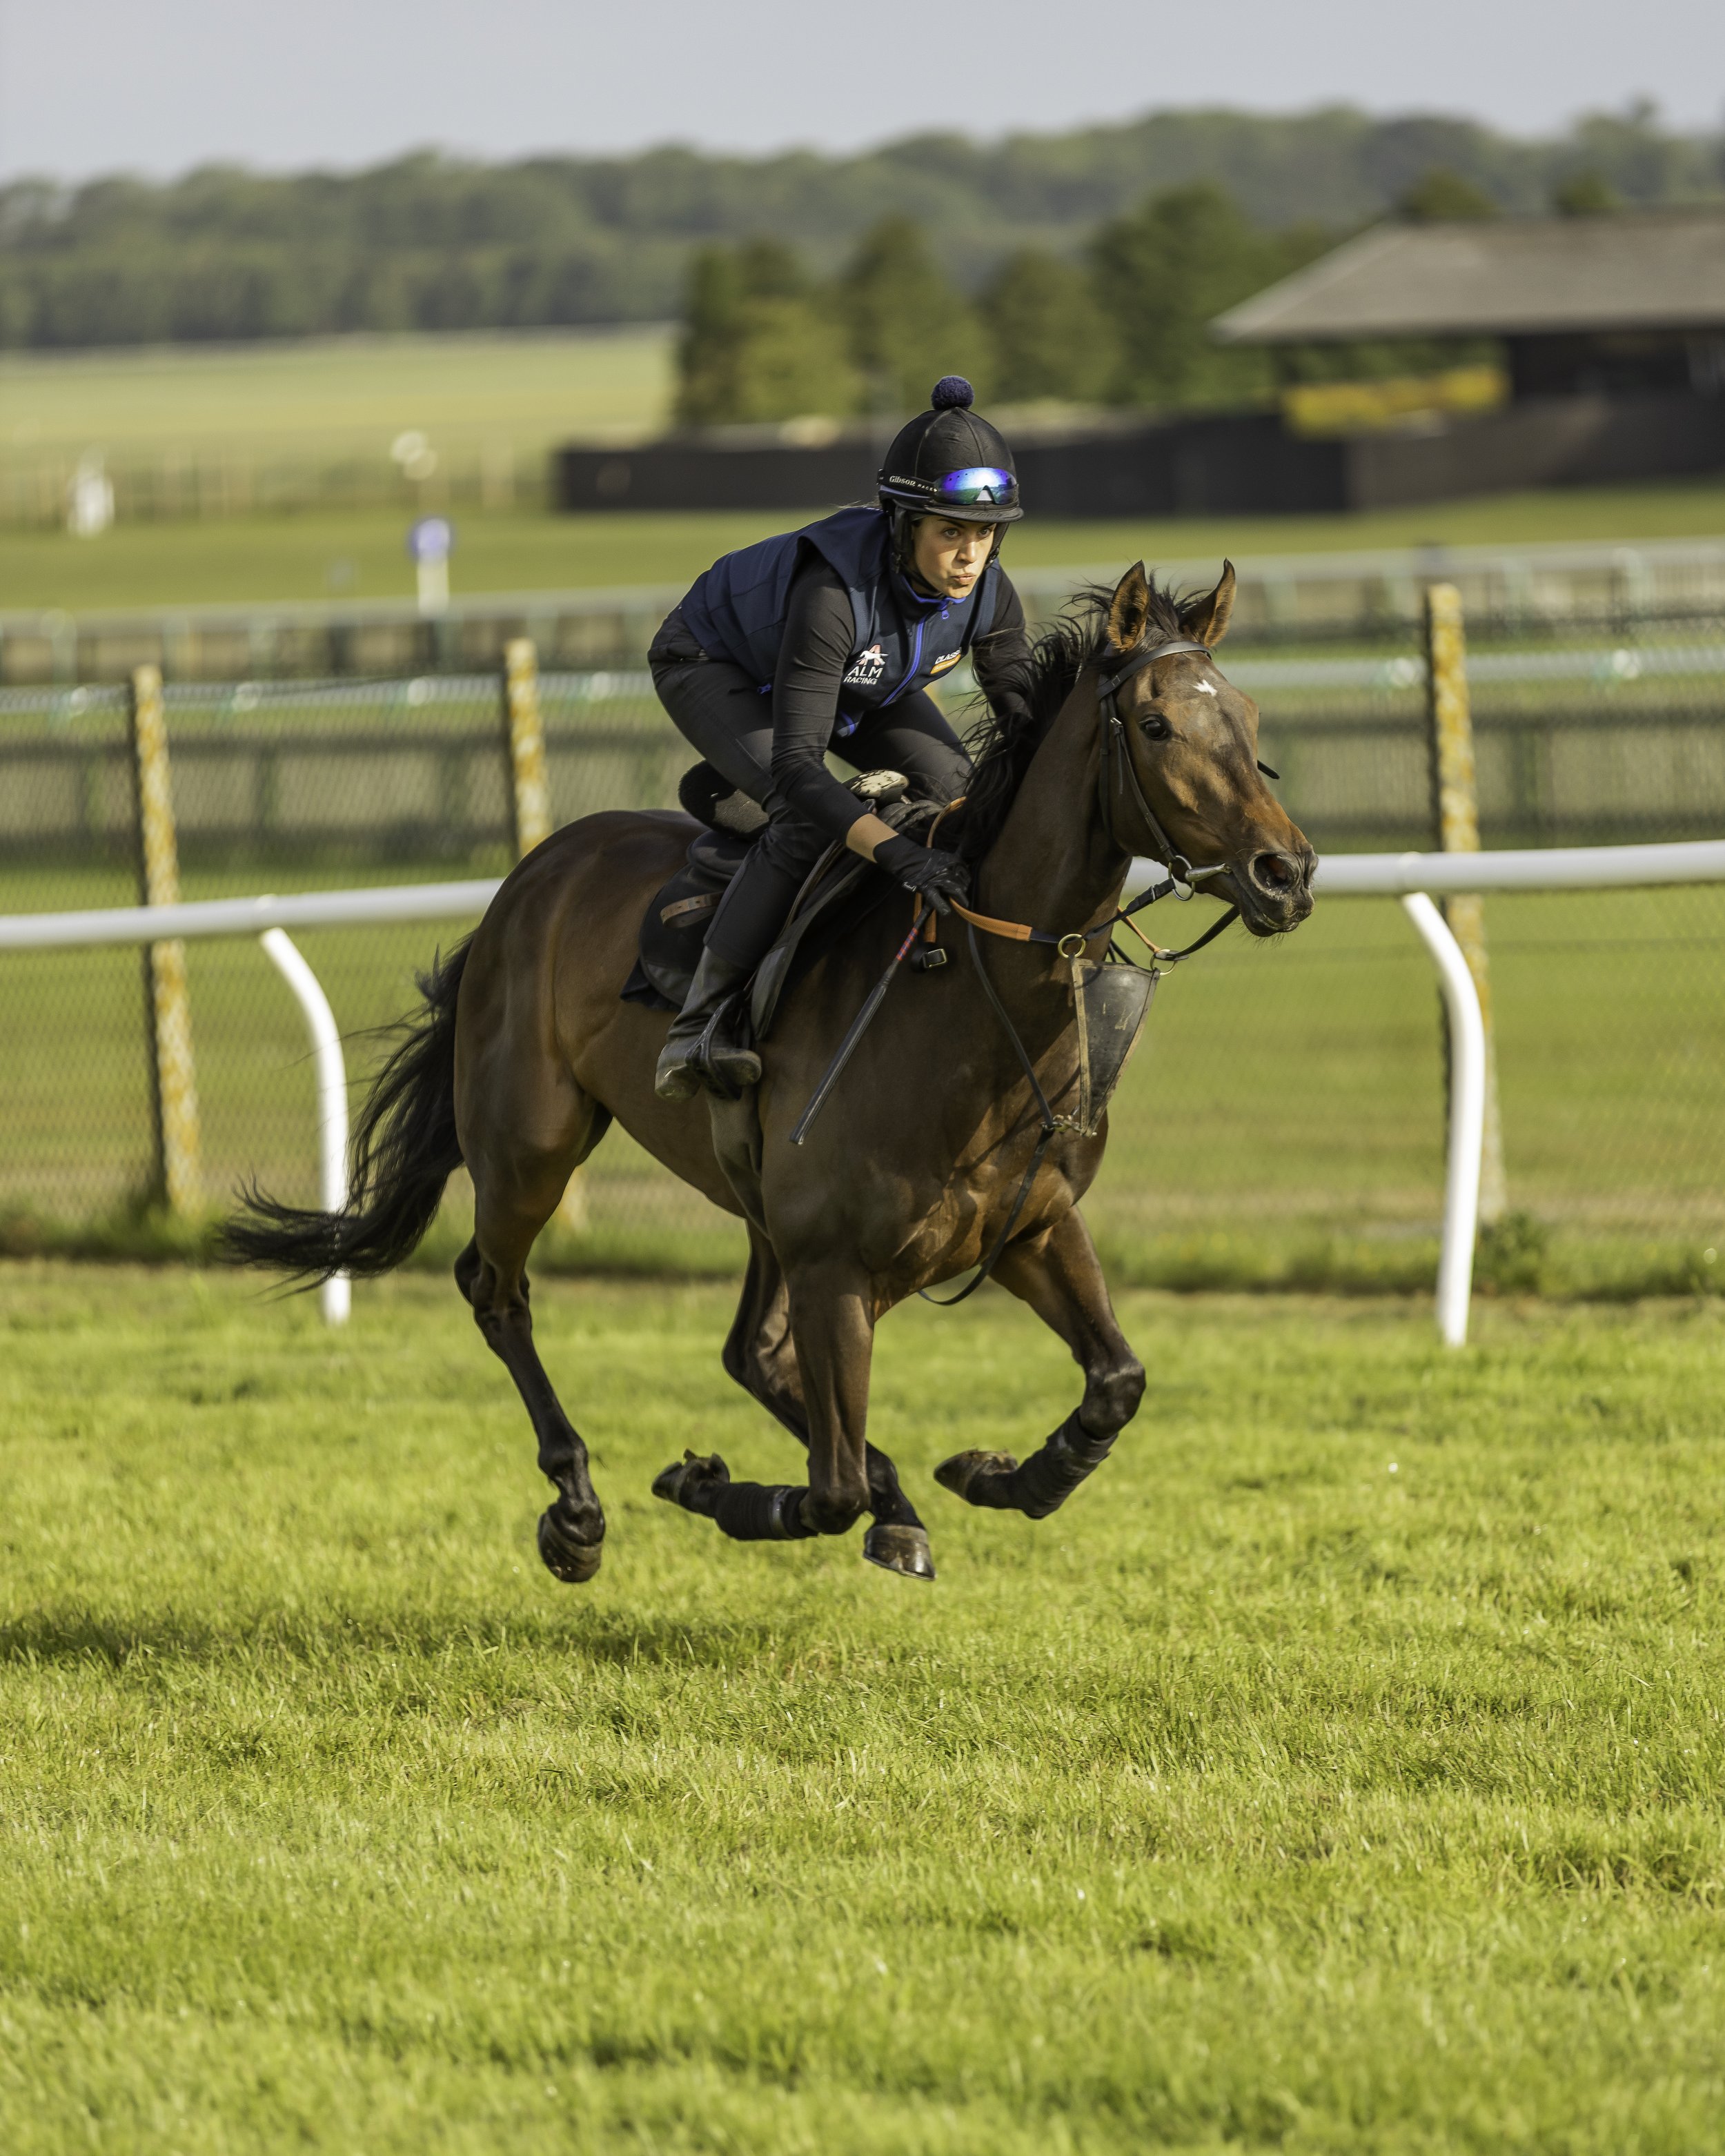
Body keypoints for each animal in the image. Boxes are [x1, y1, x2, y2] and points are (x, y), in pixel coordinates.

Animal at [225, 564, 1311, 1587]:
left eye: (1250, 717)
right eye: (1156, 724)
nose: (1286, 873)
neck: (971, 1005)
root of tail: (528, 876)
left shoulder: (1028, 1226)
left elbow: (1115, 1381)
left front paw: (999, 1473)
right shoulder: (834, 1264)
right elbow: (828, 1491)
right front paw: (708, 1484)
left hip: (755, 1202)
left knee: (750, 1351)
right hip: (531, 1144)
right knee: (497, 1289)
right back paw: (576, 1510)